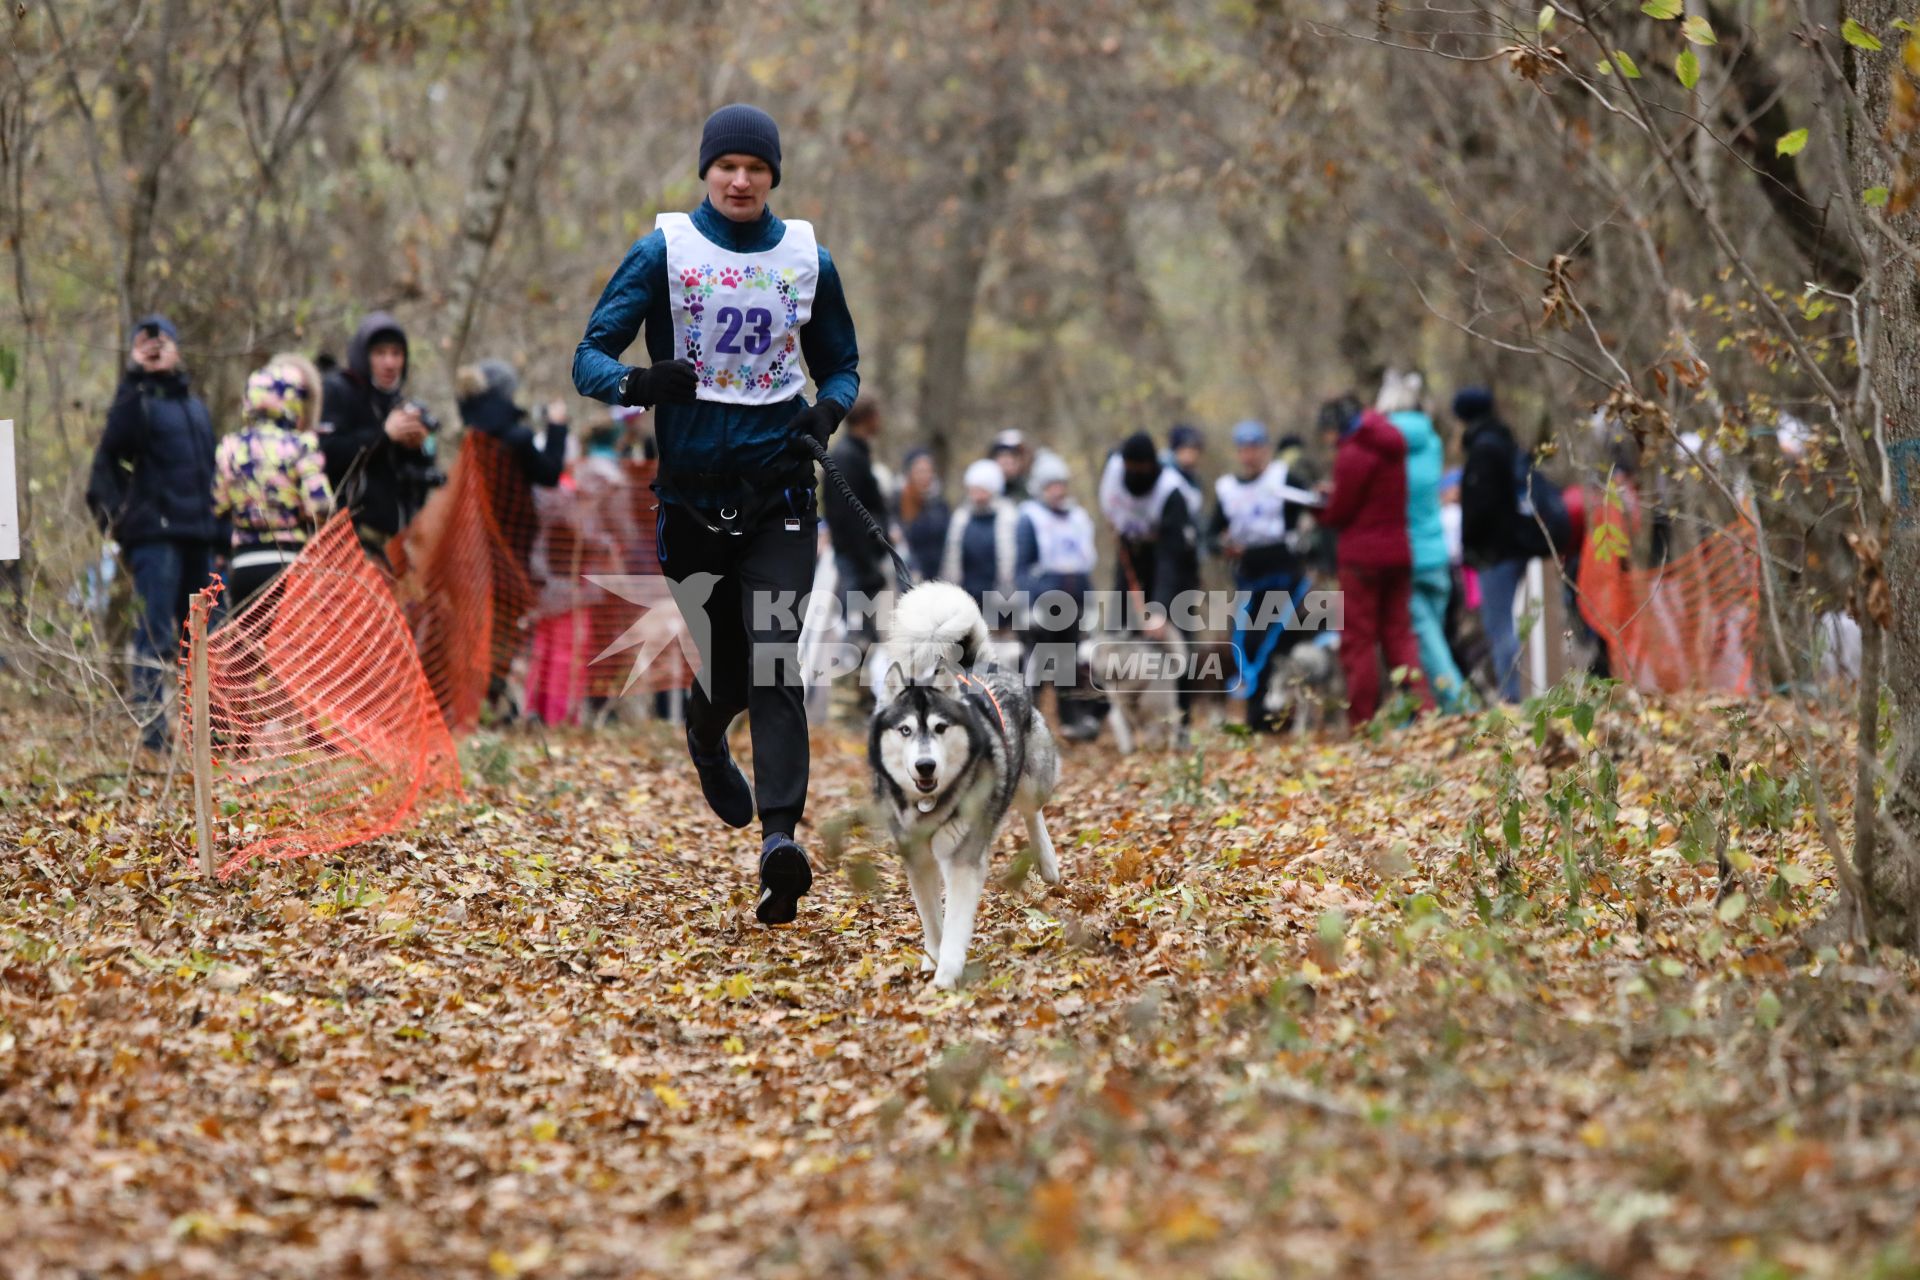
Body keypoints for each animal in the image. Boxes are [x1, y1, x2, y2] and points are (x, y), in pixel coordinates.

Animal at [871, 579, 1067, 990]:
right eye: (905, 730)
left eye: (940, 728)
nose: (925, 766)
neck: (931, 806)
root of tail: (973, 665)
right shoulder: (917, 860)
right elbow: (932, 919)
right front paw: (932, 959)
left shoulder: (962, 860)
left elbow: (956, 921)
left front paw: (946, 973)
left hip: (1031, 781)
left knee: (1032, 810)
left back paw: (1047, 861)